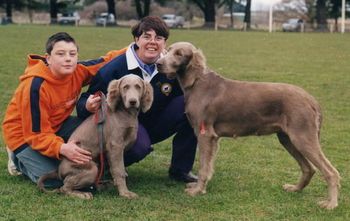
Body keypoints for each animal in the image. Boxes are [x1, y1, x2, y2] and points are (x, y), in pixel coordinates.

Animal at [156, 41, 340, 209]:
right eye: (168, 50)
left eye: (179, 53)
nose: (158, 64)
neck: (197, 83)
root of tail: (311, 99)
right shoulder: (213, 138)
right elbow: (208, 166)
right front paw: (198, 187)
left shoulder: (205, 134)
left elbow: (203, 167)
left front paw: (197, 191)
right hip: (287, 138)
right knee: (309, 168)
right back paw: (295, 188)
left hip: (302, 137)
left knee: (331, 172)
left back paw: (330, 204)